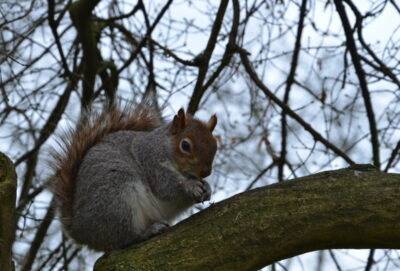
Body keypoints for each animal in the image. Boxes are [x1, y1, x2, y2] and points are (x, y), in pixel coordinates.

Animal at [50, 107, 219, 253]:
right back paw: (148, 232)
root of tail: (81, 229)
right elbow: (165, 187)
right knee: (124, 238)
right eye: (185, 145)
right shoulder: (150, 161)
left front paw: (207, 188)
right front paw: (190, 186)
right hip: (117, 198)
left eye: (215, 145)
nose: (205, 172)